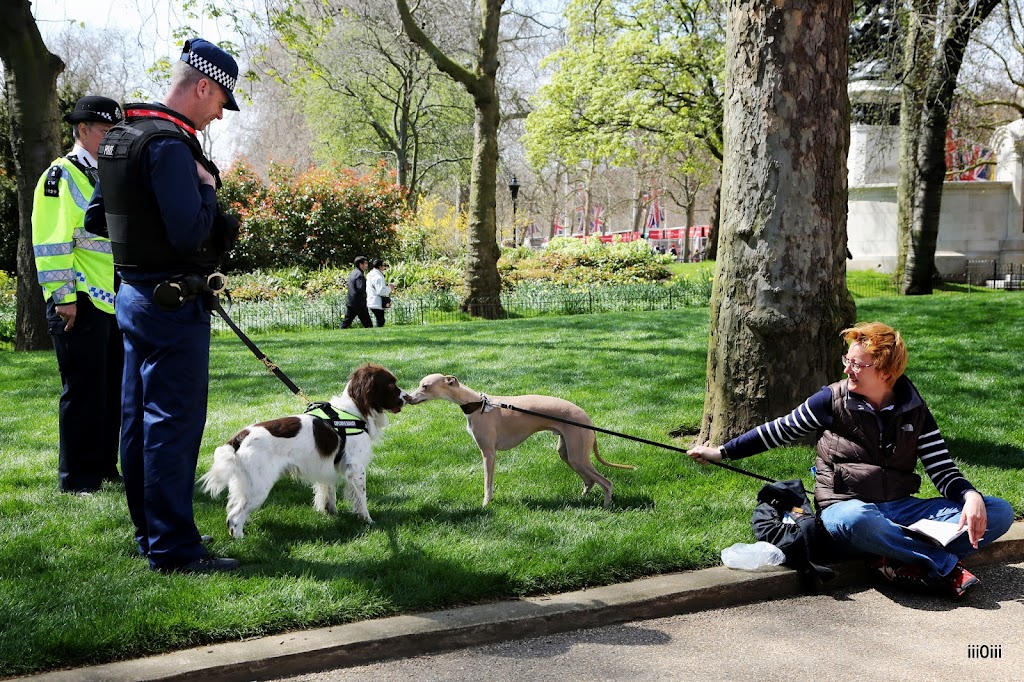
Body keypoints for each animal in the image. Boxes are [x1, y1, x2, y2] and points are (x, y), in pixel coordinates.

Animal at [405, 372, 630, 503]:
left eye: (425, 386)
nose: (406, 397)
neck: (477, 404)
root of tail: (587, 419)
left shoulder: (488, 453)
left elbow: (488, 484)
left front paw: (486, 504)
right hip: (568, 453)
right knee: (589, 480)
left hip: (577, 455)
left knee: (606, 483)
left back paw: (607, 506)